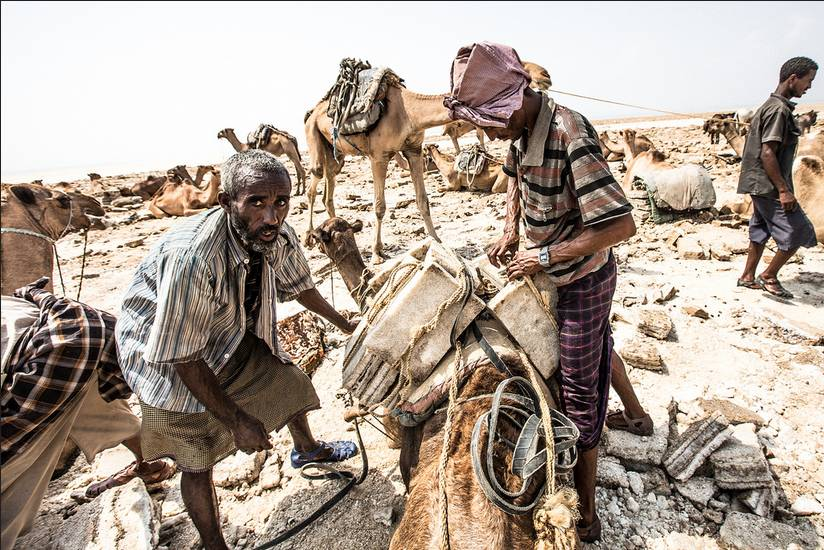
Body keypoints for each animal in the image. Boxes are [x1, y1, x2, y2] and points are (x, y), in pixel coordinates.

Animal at [304, 77, 454, 266]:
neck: (409, 113)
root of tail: (312, 113)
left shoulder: (414, 150)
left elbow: (423, 200)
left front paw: (436, 240)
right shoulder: (378, 157)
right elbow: (379, 206)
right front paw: (377, 253)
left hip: (334, 151)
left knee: (329, 185)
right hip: (312, 132)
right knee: (315, 178)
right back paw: (308, 238)